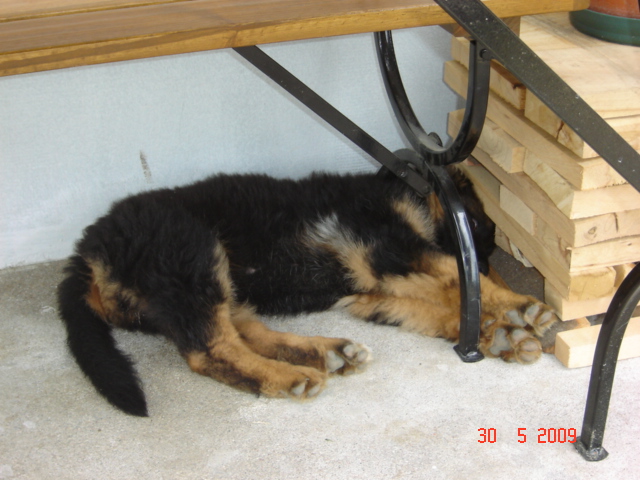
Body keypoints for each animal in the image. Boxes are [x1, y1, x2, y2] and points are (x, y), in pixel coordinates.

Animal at [58, 167, 571, 416]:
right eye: (479, 230)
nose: (486, 263)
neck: (407, 194)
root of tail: (88, 249)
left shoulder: (370, 292)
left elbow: (437, 307)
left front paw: (496, 332)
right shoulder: (385, 249)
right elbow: (452, 275)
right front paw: (518, 310)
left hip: (218, 285)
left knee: (242, 334)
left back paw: (326, 353)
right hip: (193, 255)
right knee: (211, 351)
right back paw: (289, 378)